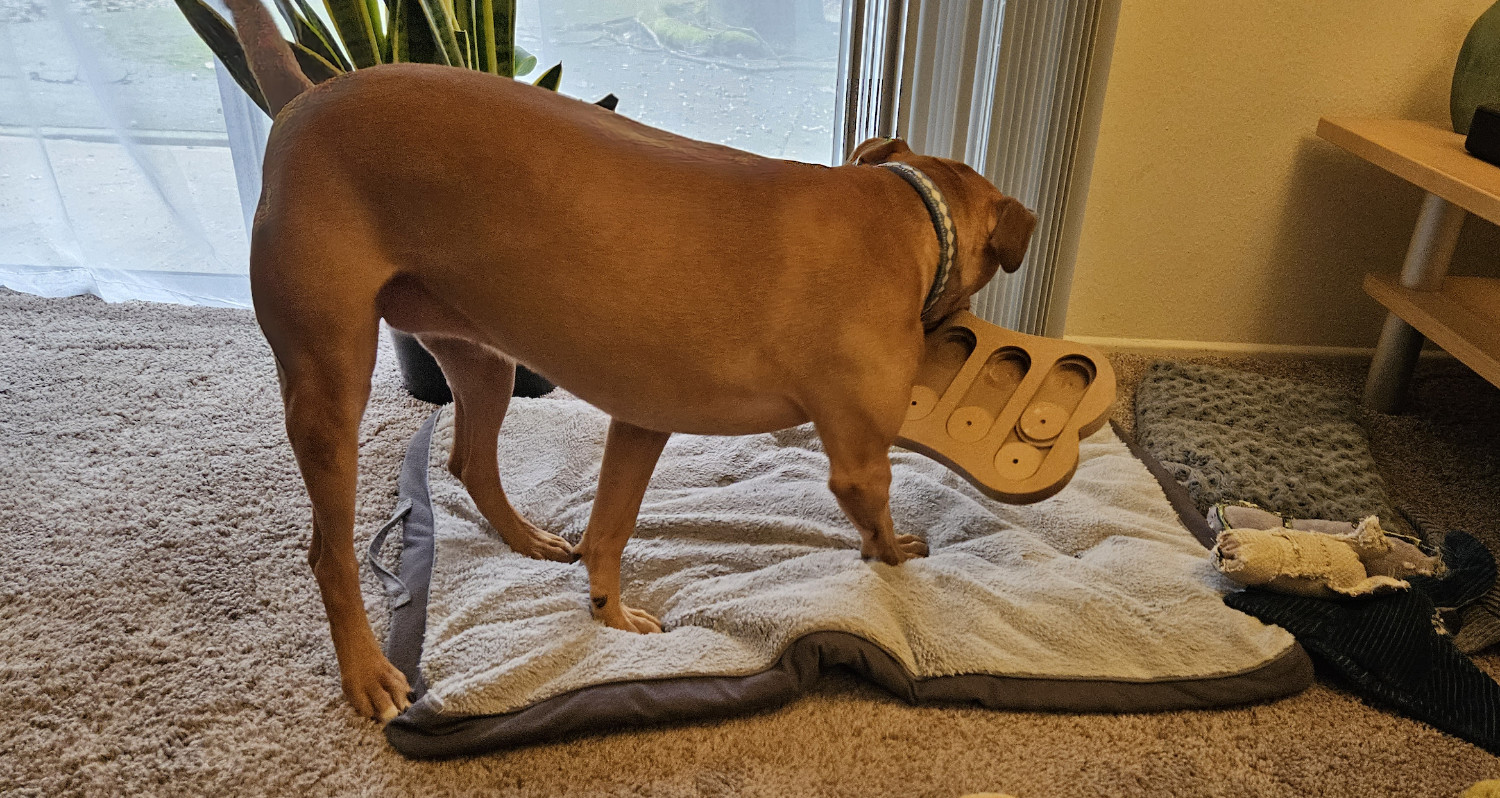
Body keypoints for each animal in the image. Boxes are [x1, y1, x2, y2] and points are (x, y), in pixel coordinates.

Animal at [228, 0, 1038, 723]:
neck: (904, 210)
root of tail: (307, 94)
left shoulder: (641, 422)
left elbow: (607, 535)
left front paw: (610, 619)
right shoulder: (861, 465)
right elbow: (883, 537)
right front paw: (900, 555)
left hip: (482, 359)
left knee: (469, 461)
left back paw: (526, 539)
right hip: (330, 384)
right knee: (329, 551)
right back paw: (368, 673)